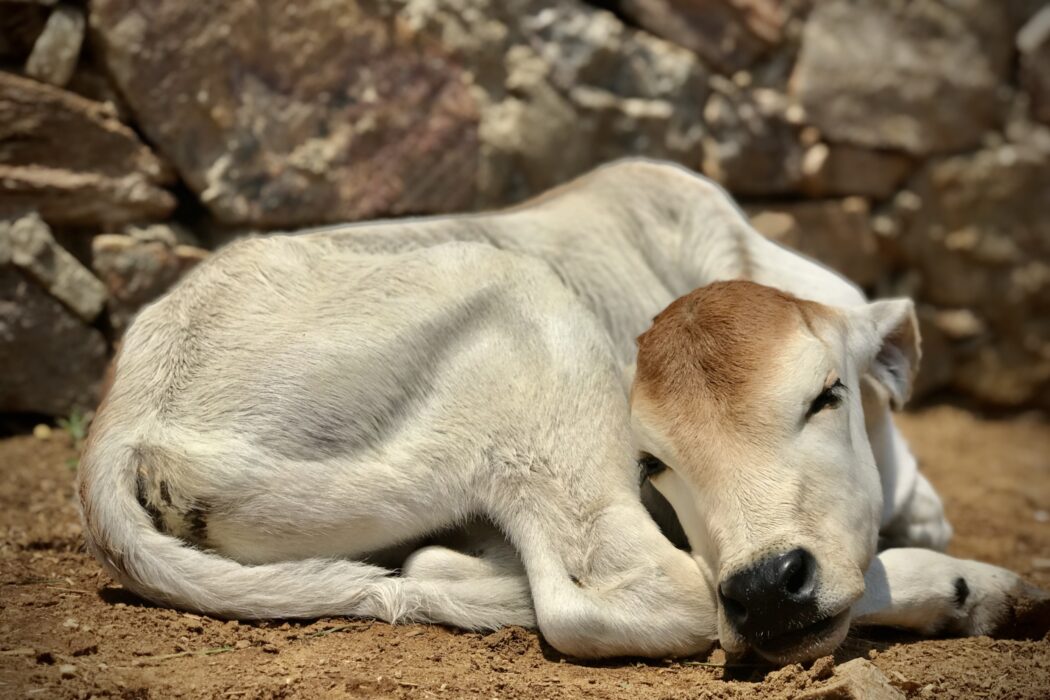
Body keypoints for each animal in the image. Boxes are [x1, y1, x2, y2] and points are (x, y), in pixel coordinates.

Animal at [76, 161, 1050, 667]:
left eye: (827, 393)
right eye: (653, 460)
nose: (770, 587)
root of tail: (126, 420)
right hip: (531, 324)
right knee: (630, 593)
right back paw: (969, 588)